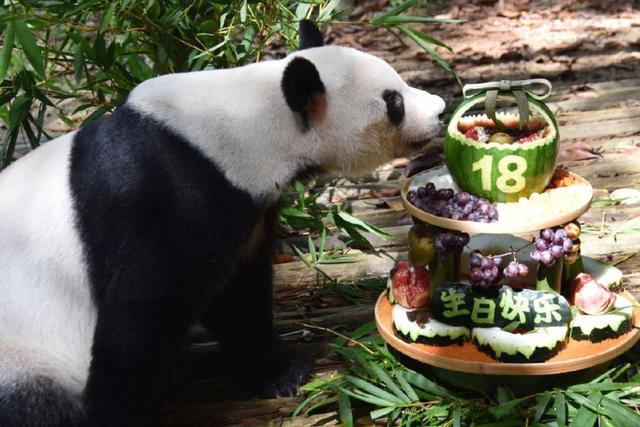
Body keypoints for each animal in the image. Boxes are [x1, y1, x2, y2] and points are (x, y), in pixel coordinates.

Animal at [0, 20, 444, 427]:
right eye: (393, 102)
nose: (440, 109)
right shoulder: (166, 193)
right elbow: (142, 312)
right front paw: (120, 413)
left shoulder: (243, 206)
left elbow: (237, 294)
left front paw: (281, 372)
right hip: (21, 350)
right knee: (31, 403)